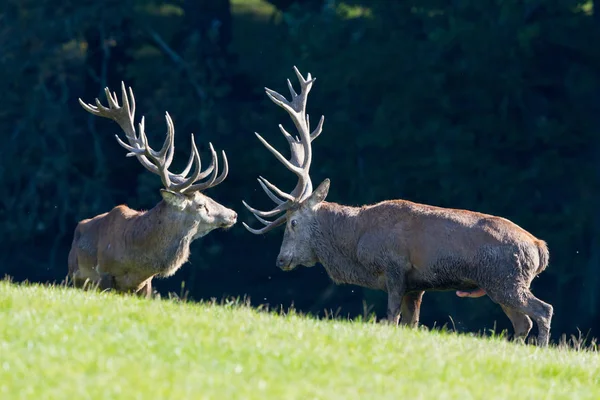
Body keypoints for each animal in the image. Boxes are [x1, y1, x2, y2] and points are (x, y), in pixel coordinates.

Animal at [70, 83, 237, 296]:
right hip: (72, 276)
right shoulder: (104, 273)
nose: (233, 214)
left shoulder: (146, 285)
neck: (135, 260)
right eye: (201, 204)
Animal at [243, 67, 552, 346]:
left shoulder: (394, 266)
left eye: (293, 222)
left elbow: (391, 317)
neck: (357, 242)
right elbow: (411, 323)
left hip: (506, 279)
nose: (281, 259)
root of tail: (540, 248)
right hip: (501, 284)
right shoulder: (416, 285)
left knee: (543, 310)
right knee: (522, 322)